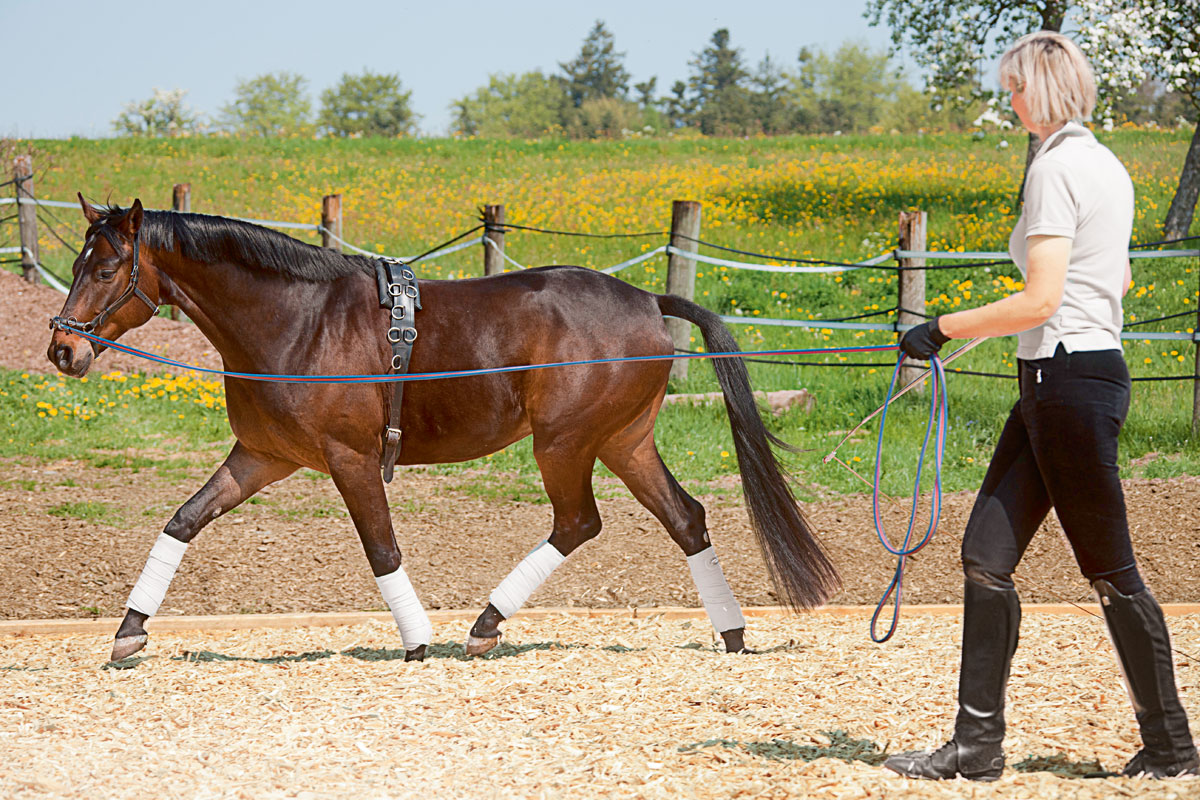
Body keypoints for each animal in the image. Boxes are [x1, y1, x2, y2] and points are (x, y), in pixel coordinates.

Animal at [44, 199, 835, 662]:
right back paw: (730, 634)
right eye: (77, 260)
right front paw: (129, 629)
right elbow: (183, 521)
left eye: (106, 266)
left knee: (579, 522)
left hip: (566, 444)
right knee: (686, 518)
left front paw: (417, 640)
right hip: (622, 442)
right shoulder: (262, 456)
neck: (299, 319)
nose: (62, 350)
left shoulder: (349, 459)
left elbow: (382, 548)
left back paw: (485, 624)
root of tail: (646, 296)